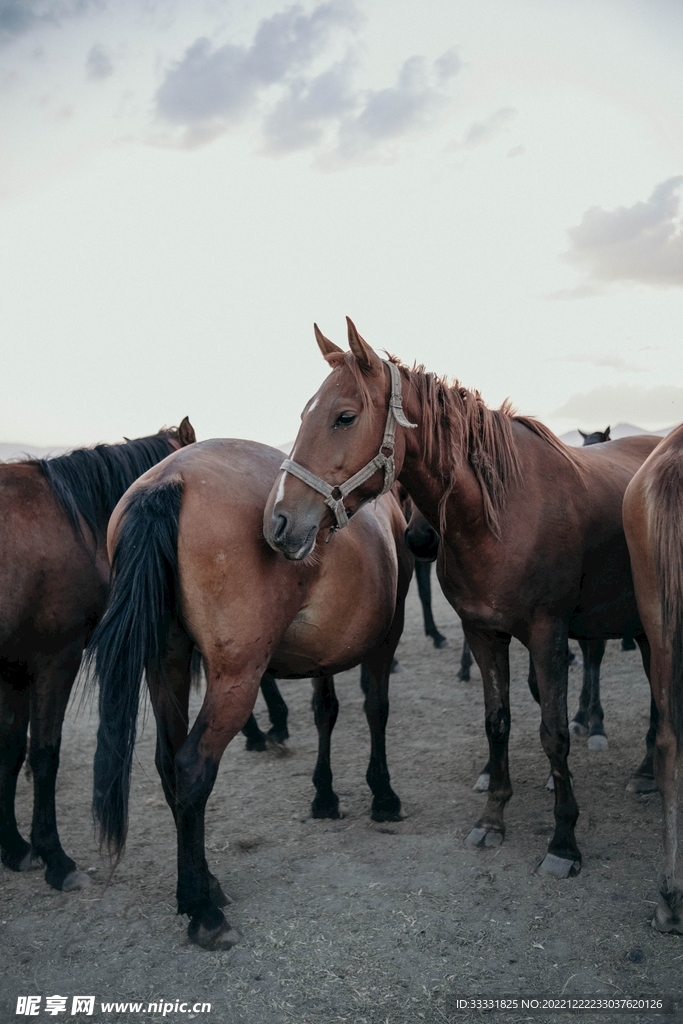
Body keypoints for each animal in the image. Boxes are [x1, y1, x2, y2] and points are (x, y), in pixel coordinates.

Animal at [0, 419, 196, 893]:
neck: (69, 522)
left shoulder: (14, 671)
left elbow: (11, 750)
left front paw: (14, 847)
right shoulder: (55, 660)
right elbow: (45, 754)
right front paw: (55, 857)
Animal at [87, 438, 412, 950]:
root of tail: (170, 479)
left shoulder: (324, 650)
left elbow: (326, 710)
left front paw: (325, 796)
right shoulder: (388, 634)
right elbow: (375, 709)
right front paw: (382, 795)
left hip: (168, 662)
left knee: (168, 763)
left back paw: (203, 886)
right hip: (236, 678)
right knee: (191, 765)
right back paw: (202, 910)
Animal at [263, 318, 661, 879]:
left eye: (344, 417)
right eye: (303, 415)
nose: (278, 522)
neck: (501, 513)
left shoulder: (548, 634)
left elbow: (554, 731)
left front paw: (563, 841)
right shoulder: (484, 633)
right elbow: (498, 724)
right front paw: (492, 819)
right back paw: (648, 770)